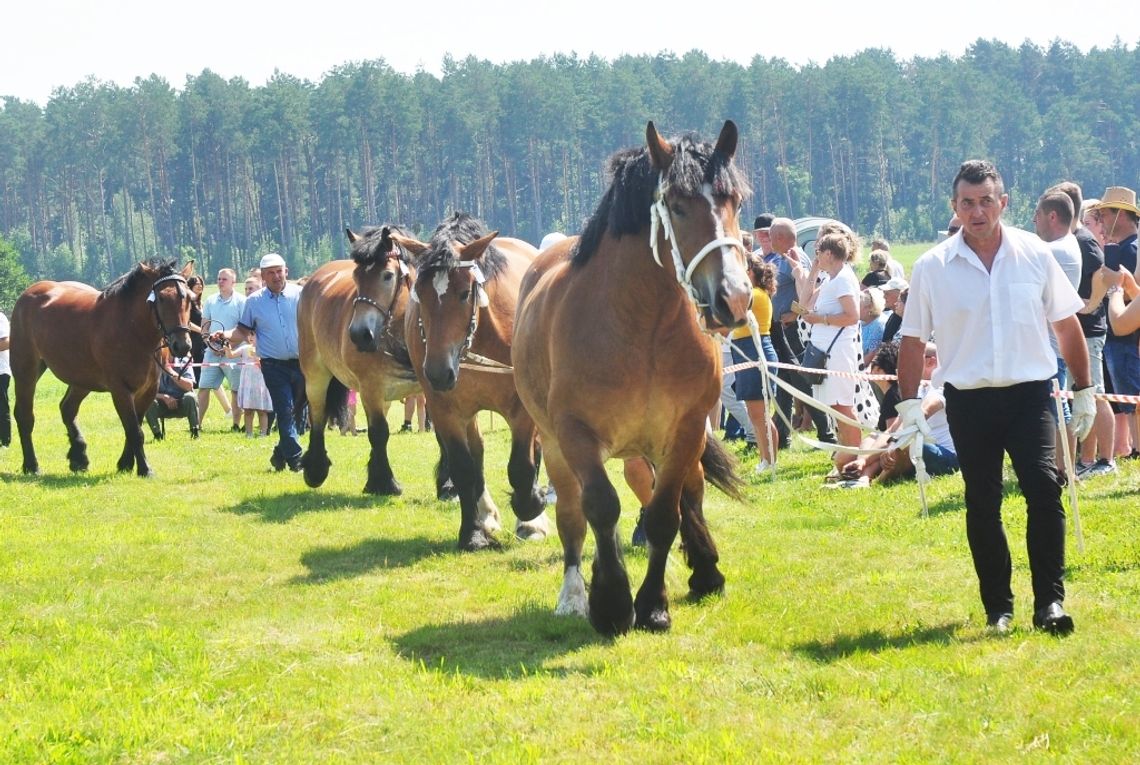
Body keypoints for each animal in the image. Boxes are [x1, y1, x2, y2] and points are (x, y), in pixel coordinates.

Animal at [12, 262, 196, 478]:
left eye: (189, 298)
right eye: (161, 298)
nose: (182, 345)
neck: (132, 330)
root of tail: (30, 293)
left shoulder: (148, 391)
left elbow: (134, 427)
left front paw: (126, 463)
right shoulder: (120, 390)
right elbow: (134, 431)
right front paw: (145, 468)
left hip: (81, 379)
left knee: (67, 409)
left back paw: (79, 457)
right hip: (26, 370)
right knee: (24, 415)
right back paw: (31, 465)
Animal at [298, 224, 449, 494]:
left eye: (387, 276)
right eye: (356, 276)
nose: (360, 334)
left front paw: (448, 485)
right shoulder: (370, 388)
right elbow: (378, 433)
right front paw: (385, 482)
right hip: (315, 374)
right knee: (317, 413)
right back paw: (316, 468)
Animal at [394, 212, 549, 554]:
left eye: (465, 293)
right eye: (419, 293)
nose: (438, 373)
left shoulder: (522, 410)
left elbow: (522, 466)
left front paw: (531, 511)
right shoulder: (445, 410)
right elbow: (465, 468)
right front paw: (473, 533)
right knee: (476, 453)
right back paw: (486, 514)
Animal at [515, 119, 747, 633]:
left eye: (735, 201)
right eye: (677, 206)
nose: (735, 297)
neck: (643, 329)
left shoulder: (685, 430)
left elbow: (664, 514)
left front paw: (655, 605)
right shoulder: (576, 435)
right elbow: (600, 507)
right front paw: (611, 602)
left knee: (689, 492)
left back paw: (705, 570)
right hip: (556, 445)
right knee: (572, 513)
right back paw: (574, 592)